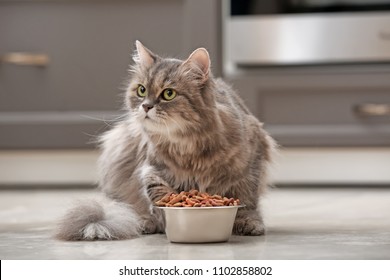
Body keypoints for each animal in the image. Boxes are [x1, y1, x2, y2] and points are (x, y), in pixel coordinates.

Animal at [55, 40, 278, 240]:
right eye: (142, 90)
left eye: (168, 94)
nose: (146, 106)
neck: (186, 143)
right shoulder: (151, 169)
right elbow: (158, 193)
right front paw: (166, 215)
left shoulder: (251, 163)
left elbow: (248, 199)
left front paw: (249, 222)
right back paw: (145, 222)